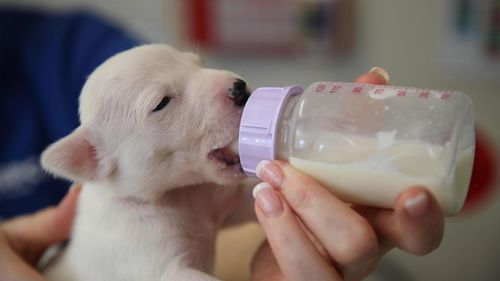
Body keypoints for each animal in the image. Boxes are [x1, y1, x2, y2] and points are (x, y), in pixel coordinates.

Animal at [41, 44, 256, 278]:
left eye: (199, 62)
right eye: (161, 103)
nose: (239, 88)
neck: (180, 196)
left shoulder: (221, 200)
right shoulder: (155, 261)